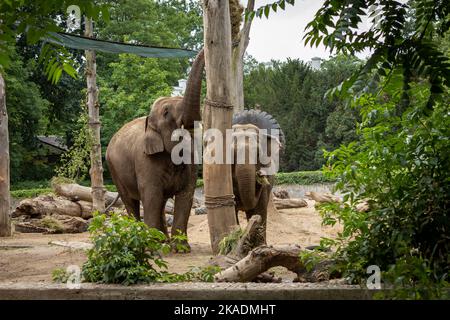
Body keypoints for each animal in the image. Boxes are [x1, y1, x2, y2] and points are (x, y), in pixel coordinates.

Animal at [104, 48, 205, 250]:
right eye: (166, 113)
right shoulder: (145, 160)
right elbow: (151, 195)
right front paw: (150, 246)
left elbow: (186, 195)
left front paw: (181, 249)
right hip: (114, 170)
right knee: (132, 203)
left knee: (161, 202)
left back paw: (162, 240)